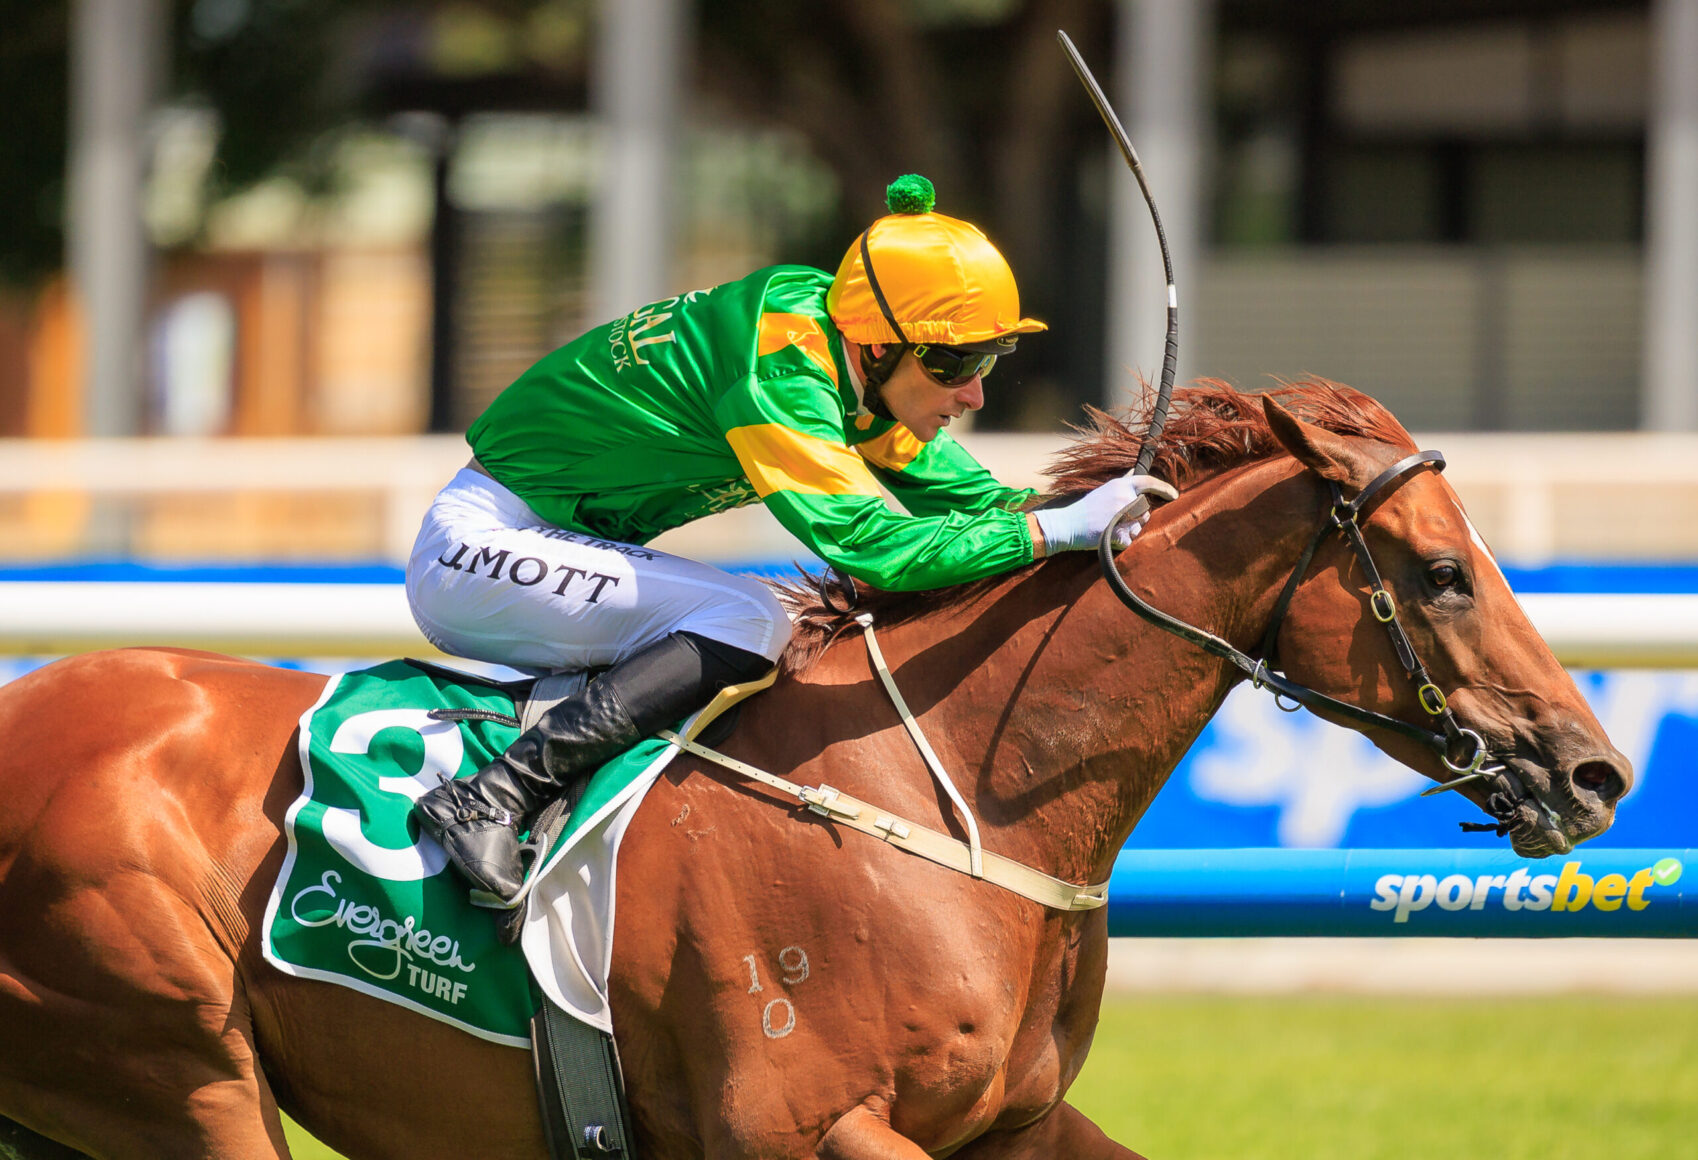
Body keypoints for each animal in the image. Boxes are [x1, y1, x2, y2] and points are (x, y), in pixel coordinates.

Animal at [0, 380, 1630, 1159]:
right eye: (1440, 573)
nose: (1599, 771)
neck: (943, 795)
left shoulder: (1013, 1126)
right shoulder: (801, 1127)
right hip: (172, 1066)